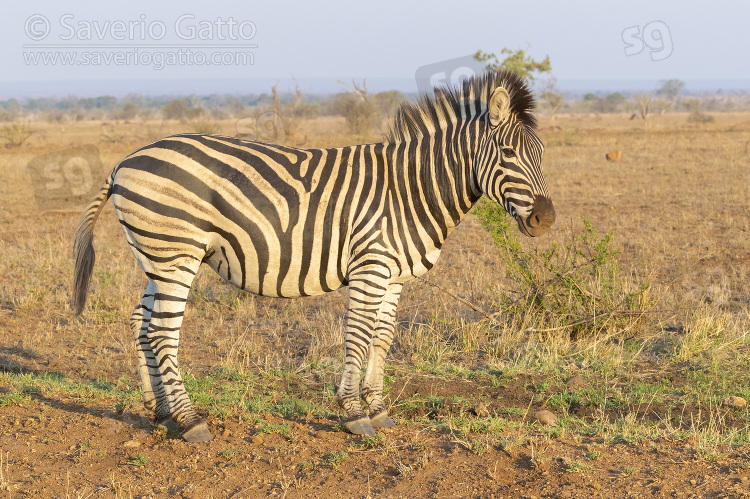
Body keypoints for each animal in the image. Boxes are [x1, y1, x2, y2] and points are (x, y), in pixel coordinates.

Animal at [73, 69, 560, 442]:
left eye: (542, 154)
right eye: (509, 153)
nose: (546, 219)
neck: (410, 189)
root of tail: (124, 162)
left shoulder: (394, 275)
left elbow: (383, 338)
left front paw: (379, 408)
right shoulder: (370, 266)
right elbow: (358, 337)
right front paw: (354, 414)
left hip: (159, 259)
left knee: (141, 323)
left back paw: (160, 411)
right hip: (176, 255)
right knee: (162, 332)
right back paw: (190, 420)